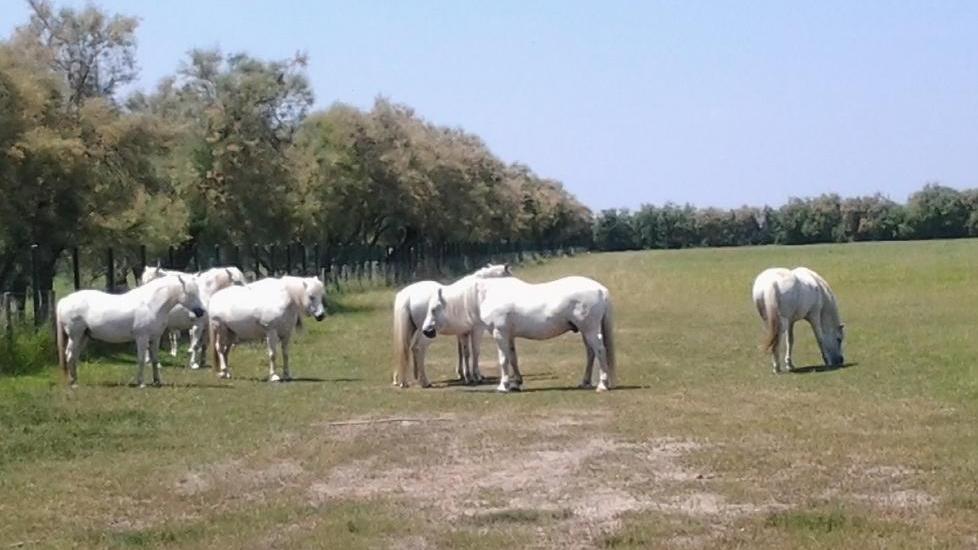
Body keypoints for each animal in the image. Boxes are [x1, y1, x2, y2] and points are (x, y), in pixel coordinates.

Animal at [55, 275, 206, 387]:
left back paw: (75, 380)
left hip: (84, 337)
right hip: (75, 336)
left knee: (74, 356)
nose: (201, 312)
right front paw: (141, 383)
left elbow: (155, 359)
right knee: (70, 355)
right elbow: (141, 359)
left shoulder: (155, 338)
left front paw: (157, 381)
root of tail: (64, 300)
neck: (150, 304)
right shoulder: (142, 337)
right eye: (189, 293)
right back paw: (73, 383)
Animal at [422, 275, 616, 392]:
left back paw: (602, 384)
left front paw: (503, 386)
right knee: (590, 353)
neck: (487, 295)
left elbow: (503, 360)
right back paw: (585, 382)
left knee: (599, 351)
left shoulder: (500, 334)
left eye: (434, 309)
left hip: (590, 330)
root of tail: (601, 290)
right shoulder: (509, 335)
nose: (426, 330)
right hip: (585, 331)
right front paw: (516, 383)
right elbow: (513, 358)